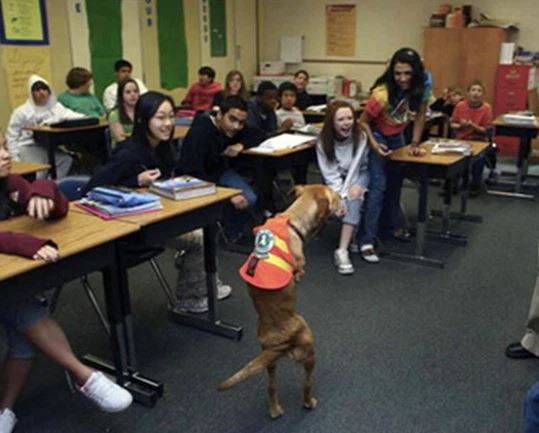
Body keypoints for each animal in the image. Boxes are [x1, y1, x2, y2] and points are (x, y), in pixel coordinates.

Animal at [218, 184, 342, 416]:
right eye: (334, 196)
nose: (343, 197)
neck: (292, 219)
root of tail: (280, 344)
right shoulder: (300, 269)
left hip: (270, 364)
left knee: (271, 387)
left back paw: (275, 410)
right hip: (310, 352)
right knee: (306, 384)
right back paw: (309, 402)